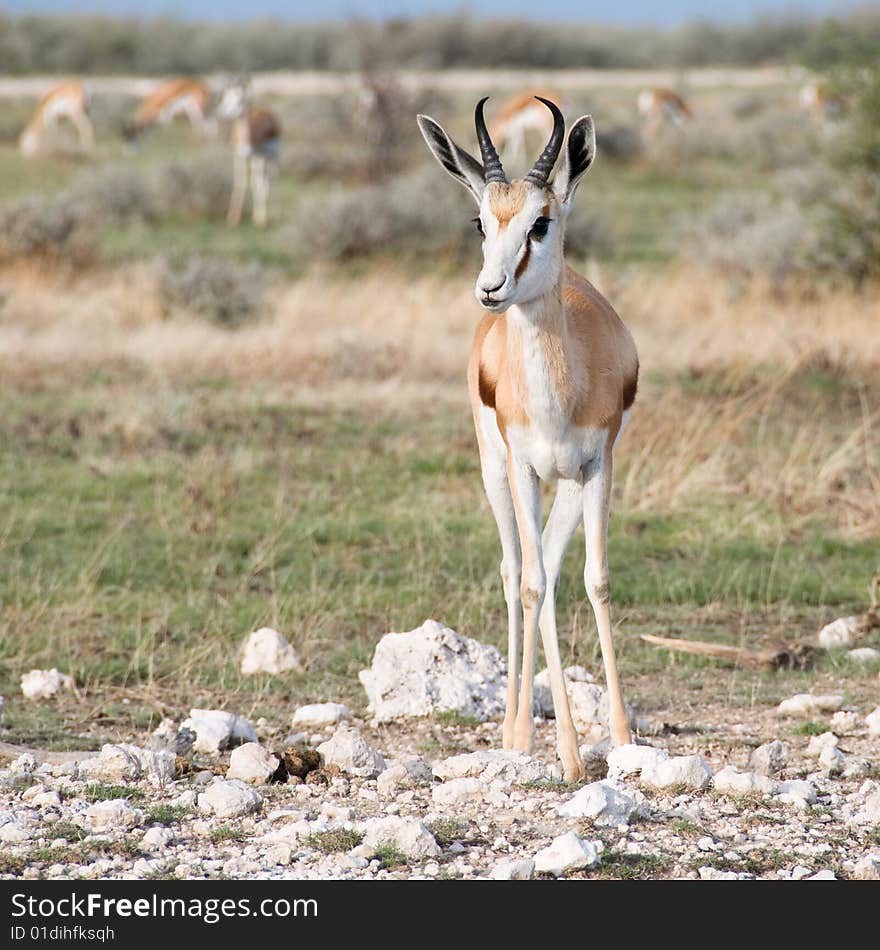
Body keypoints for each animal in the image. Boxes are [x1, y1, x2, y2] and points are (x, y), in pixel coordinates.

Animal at [215, 77, 280, 228]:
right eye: (226, 97)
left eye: (240, 99)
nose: (223, 112)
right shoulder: (238, 157)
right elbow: (240, 182)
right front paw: (232, 219)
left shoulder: (258, 156)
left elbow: (258, 184)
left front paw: (261, 221)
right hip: (257, 159)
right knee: (260, 179)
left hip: (271, 155)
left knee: (269, 179)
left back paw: (267, 213)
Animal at [416, 96, 636, 780]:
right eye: (481, 221)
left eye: (541, 222)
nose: (491, 288)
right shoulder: (524, 469)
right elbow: (532, 583)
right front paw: (564, 754)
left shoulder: (598, 466)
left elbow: (595, 579)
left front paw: (620, 738)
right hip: (498, 472)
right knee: (519, 572)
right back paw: (517, 734)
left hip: (564, 486)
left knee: (554, 569)